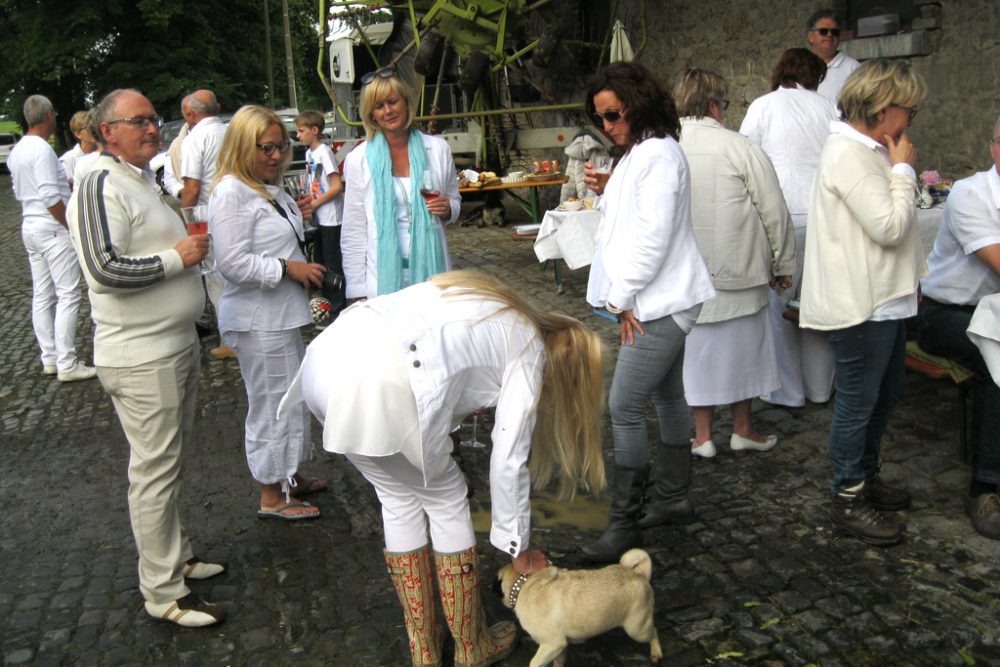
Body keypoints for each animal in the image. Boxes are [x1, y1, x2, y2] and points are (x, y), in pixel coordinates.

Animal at [494, 548, 664, 667]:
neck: (524, 584)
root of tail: (640, 574)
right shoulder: (560, 647)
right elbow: (559, 661)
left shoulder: (551, 644)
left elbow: (534, 663)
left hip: (636, 629)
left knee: (654, 631)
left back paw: (656, 653)